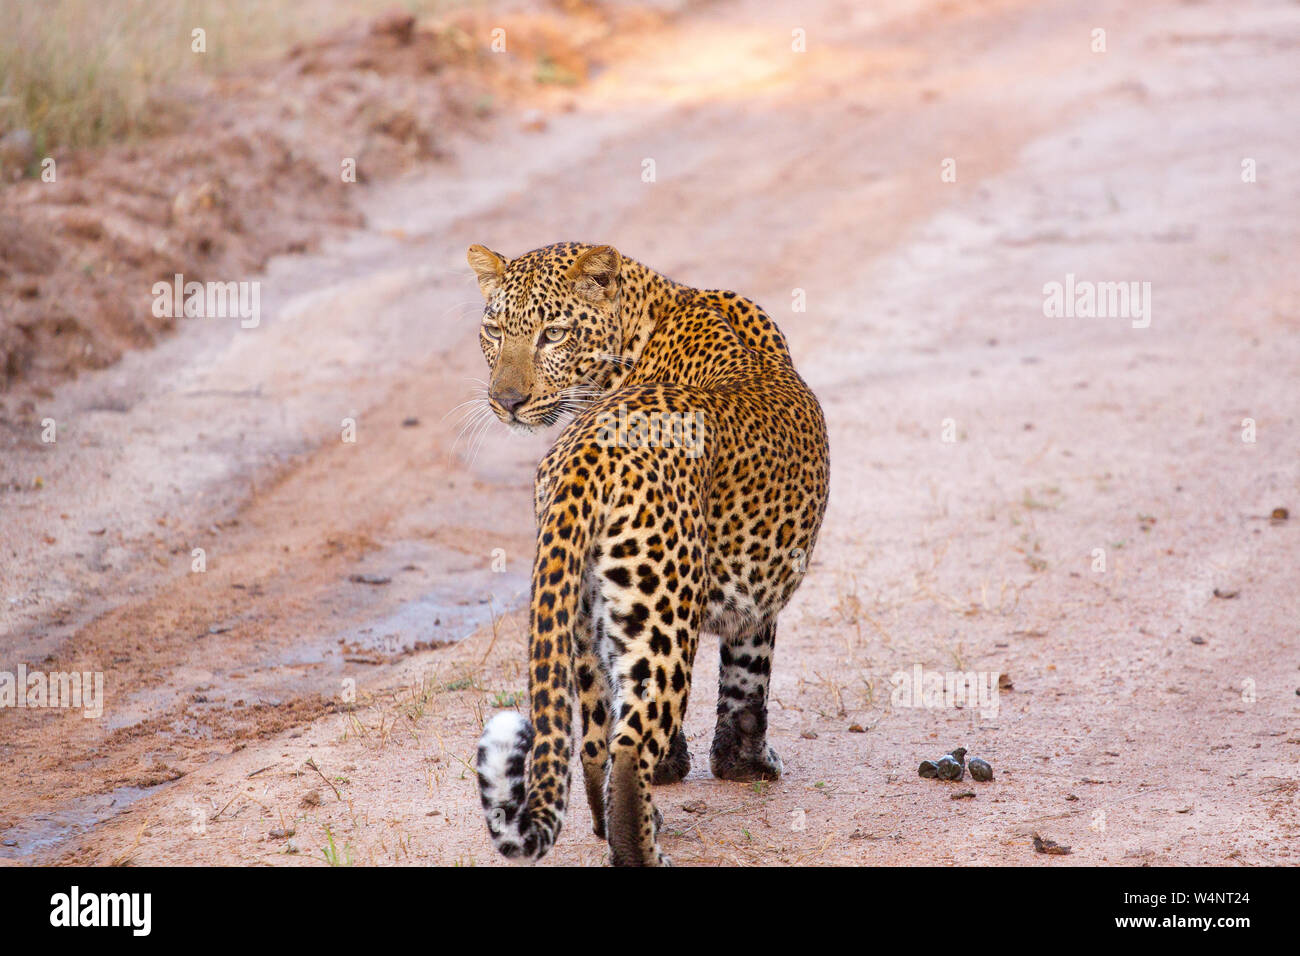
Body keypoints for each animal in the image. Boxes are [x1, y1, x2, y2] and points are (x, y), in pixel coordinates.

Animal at [473, 240, 826, 868]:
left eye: (553, 334)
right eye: (494, 330)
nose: (506, 403)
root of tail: (590, 452)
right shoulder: (757, 599)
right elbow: (748, 679)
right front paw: (743, 766)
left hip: (584, 616)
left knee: (595, 738)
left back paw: (607, 827)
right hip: (663, 608)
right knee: (630, 742)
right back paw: (643, 846)